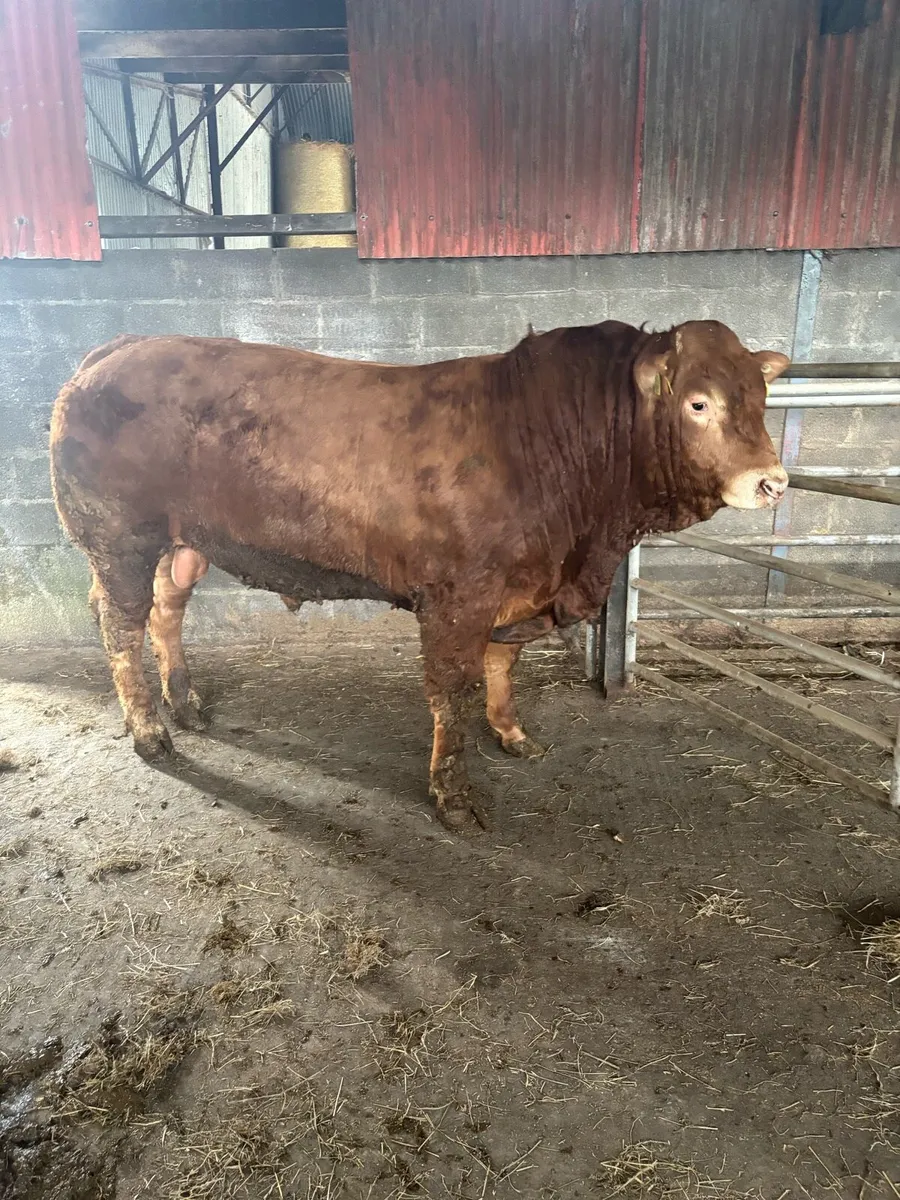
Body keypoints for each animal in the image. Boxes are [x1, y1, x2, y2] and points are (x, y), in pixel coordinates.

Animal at [50, 320, 789, 831]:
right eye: (698, 403)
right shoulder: (458, 596)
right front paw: (452, 795)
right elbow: (450, 691)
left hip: (183, 544)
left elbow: (501, 665)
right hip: (119, 537)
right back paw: (151, 732)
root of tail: (116, 349)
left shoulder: (514, 588)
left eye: (761, 397)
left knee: (165, 611)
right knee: (119, 626)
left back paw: (186, 702)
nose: (773, 481)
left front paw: (512, 733)